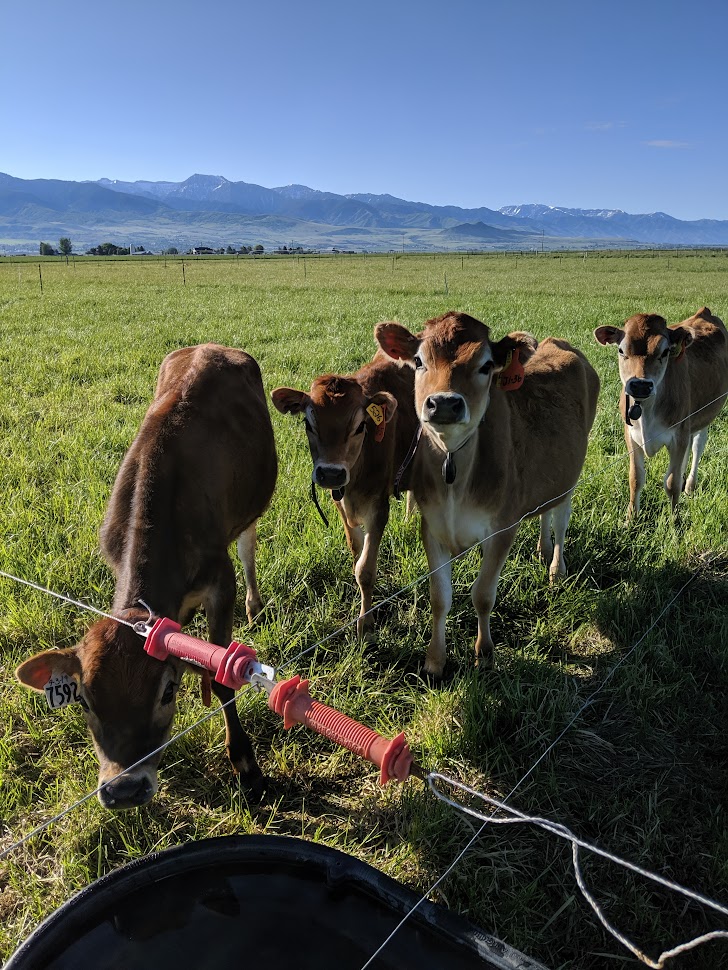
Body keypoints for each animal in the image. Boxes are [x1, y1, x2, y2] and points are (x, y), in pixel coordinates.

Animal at [17, 344, 278, 804]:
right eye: (83, 701)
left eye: (167, 691)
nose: (123, 789)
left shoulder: (220, 580)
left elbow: (222, 679)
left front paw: (246, 765)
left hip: (252, 509)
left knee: (248, 544)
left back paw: (255, 605)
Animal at [270, 350, 418, 644]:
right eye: (308, 423)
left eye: (361, 426)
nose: (330, 473)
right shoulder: (339, 501)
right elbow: (356, 553)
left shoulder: (378, 508)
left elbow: (366, 570)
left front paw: (366, 625)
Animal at [372, 310, 600, 672]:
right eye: (419, 361)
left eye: (486, 365)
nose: (444, 404)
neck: (454, 471)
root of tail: (559, 344)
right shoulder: (432, 526)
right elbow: (440, 598)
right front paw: (435, 661)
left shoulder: (503, 528)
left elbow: (482, 595)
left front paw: (484, 653)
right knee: (544, 511)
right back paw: (542, 548)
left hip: (570, 478)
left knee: (561, 519)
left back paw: (556, 568)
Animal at [596, 308, 724, 520]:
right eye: (621, 350)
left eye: (665, 352)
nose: (640, 385)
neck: (646, 411)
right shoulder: (630, 435)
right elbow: (635, 478)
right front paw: (630, 518)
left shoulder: (678, 434)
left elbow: (671, 483)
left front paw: (674, 521)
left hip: (704, 416)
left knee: (697, 446)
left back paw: (689, 486)